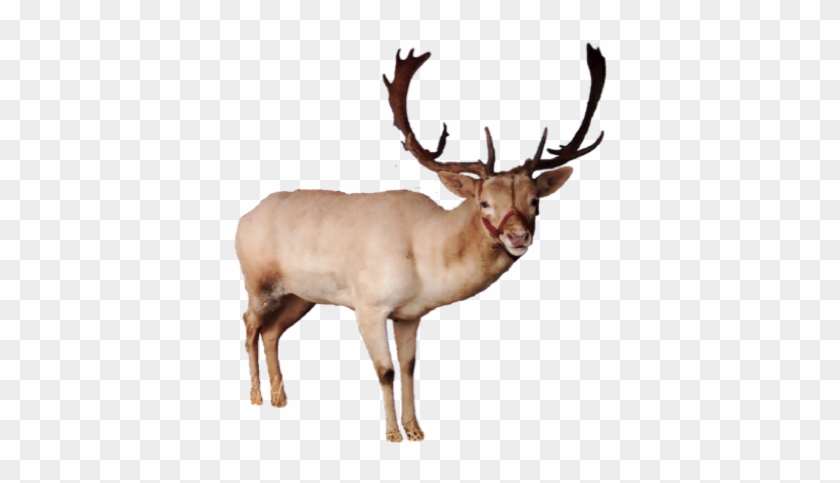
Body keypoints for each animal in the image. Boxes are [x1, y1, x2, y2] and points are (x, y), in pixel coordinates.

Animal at [235, 43, 606, 442]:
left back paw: (280, 398)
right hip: (258, 281)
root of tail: (243, 219)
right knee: (250, 324)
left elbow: (409, 366)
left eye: (535, 200)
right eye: (484, 202)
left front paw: (415, 429)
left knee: (272, 331)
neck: (425, 261)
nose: (518, 236)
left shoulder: (410, 314)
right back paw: (256, 396)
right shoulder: (369, 305)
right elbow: (386, 370)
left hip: (300, 295)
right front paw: (393, 433)